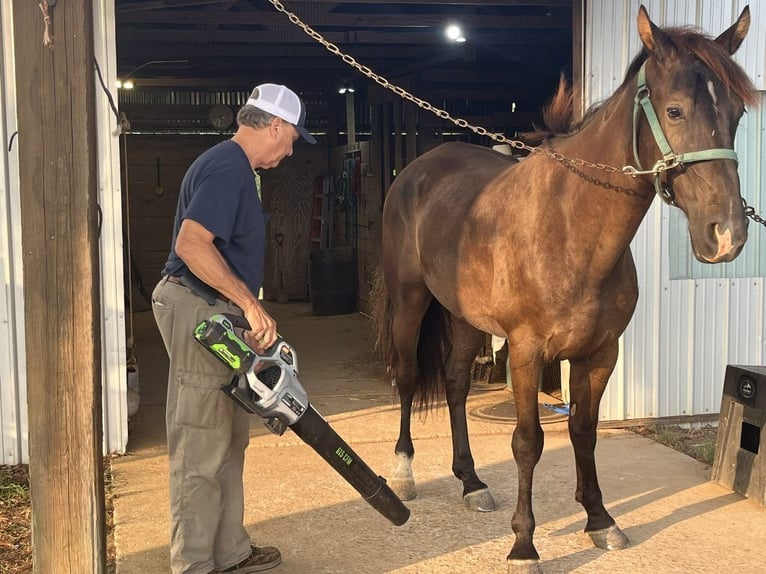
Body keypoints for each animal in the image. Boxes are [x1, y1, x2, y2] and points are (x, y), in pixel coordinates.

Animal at [376, 5, 760, 574]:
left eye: (736, 114)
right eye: (674, 110)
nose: (727, 235)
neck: (569, 227)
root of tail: (419, 169)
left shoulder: (600, 353)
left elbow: (583, 429)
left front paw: (600, 520)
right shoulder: (527, 352)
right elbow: (528, 442)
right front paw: (523, 545)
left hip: (465, 316)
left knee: (455, 384)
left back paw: (471, 481)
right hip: (410, 299)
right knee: (406, 377)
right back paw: (403, 474)